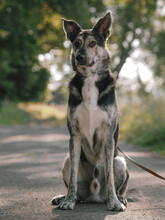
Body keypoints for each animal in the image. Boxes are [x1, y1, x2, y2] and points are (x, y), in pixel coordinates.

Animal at [51, 12, 129, 211]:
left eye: (93, 43)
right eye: (77, 43)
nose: (79, 57)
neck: (90, 78)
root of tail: (94, 196)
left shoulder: (108, 135)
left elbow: (109, 177)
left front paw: (114, 203)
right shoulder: (75, 135)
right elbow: (72, 180)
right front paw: (68, 201)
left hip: (120, 162)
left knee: (119, 185)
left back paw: (119, 198)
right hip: (67, 160)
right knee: (76, 188)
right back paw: (64, 198)